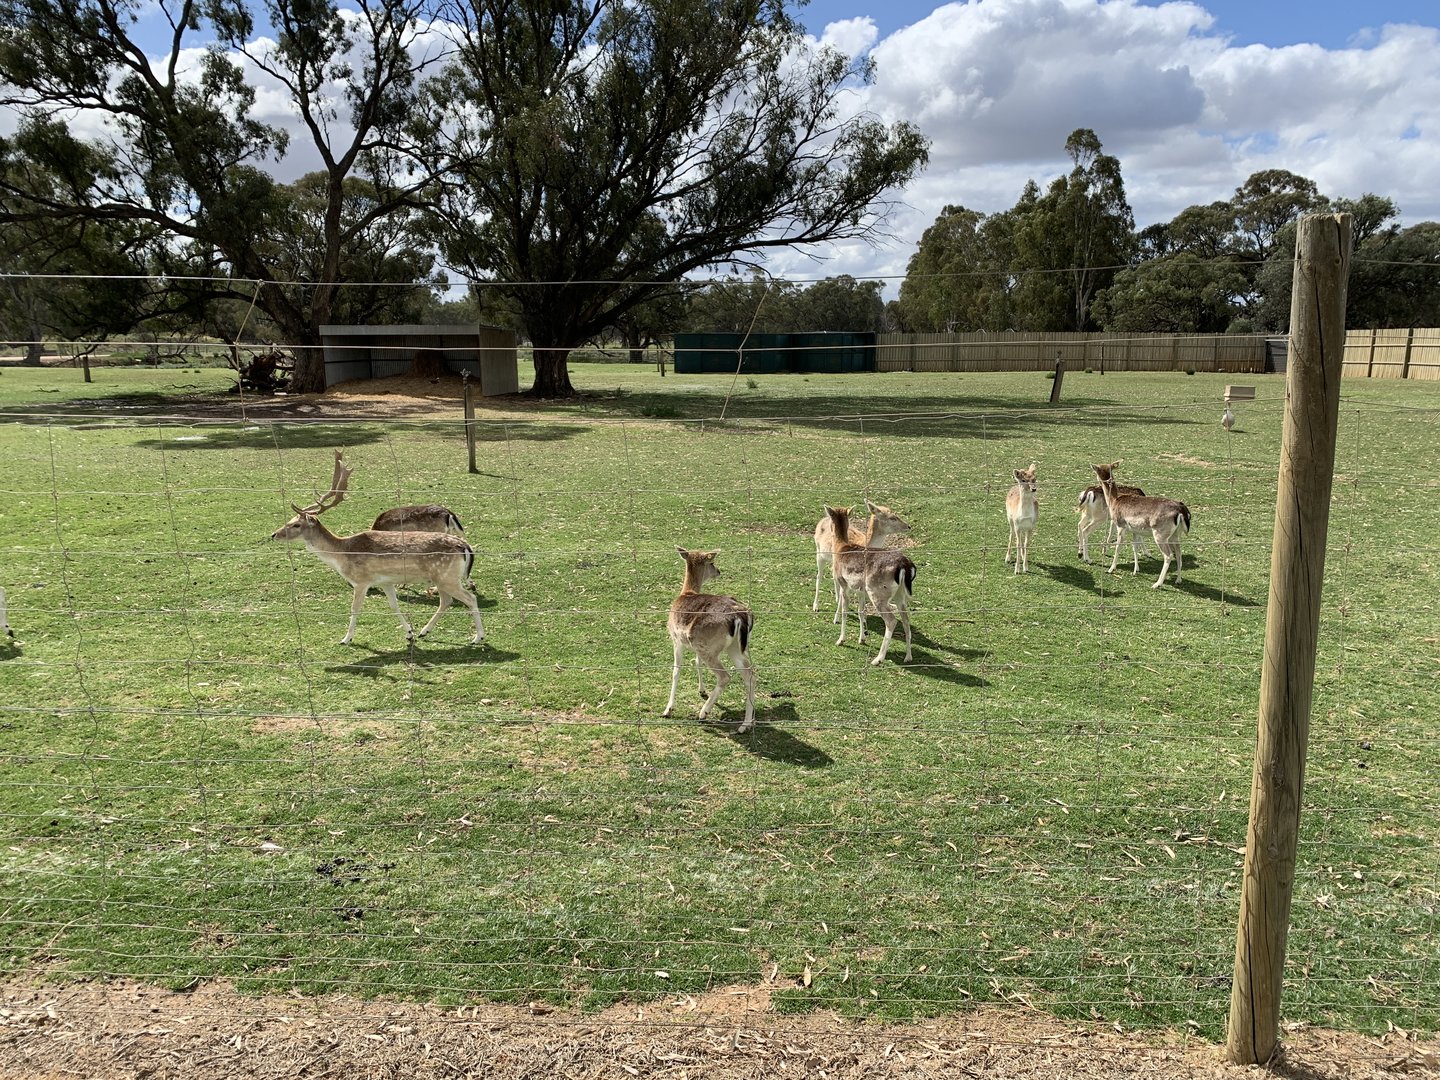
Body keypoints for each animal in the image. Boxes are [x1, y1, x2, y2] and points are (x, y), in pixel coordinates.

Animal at [271, 451, 484, 645]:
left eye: (296, 525)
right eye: (289, 521)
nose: (274, 534)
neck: (343, 553)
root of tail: (464, 546)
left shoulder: (361, 581)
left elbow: (355, 608)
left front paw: (346, 639)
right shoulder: (386, 582)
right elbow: (393, 605)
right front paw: (409, 633)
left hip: (446, 576)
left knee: (470, 598)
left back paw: (478, 637)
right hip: (443, 578)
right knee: (447, 601)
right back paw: (424, 631)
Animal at [663, 548, 756, 732]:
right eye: (712, 563)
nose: (719, 571)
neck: (686, 593)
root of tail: (739, 616)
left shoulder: (676, 639)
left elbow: (676, 670)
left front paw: (668, 709)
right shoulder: (694, 646)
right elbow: (696, 662)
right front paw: (702, 690)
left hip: (710, 648)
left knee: (725, 676)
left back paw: (703, 713)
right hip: (734, 647)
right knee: (749, 674)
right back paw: (745, 725)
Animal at [827, 506, 916, 665]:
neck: (840, 548)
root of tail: (905, 565)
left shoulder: (844, 583)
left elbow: (845, 610)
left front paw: (841, 640)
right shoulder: (861, 590)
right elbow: (861, 611)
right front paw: (861, 638)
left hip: (877, 592)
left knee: (892, 621)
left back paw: (878, 659)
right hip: (900, 594)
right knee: (906, 619)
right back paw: (908, 657)